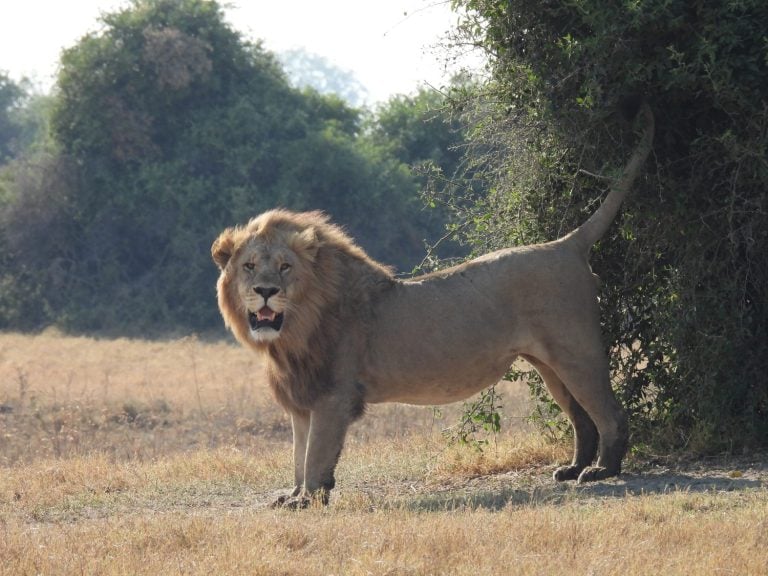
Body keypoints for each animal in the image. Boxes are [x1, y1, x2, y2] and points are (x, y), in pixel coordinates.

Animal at [212, 105, 654, 508]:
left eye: (284, 267)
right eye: (249, 266)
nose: (265, 290)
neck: (293, 331)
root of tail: (566, 243)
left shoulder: (332, 396)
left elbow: (316, 455)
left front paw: (309, 499)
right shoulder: (303, 398)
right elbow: (298, 455)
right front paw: (293, 494)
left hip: (577, 352)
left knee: (610, 413)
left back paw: (602, 471)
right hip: (549, 364)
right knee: (581, 419)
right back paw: (574, 467)